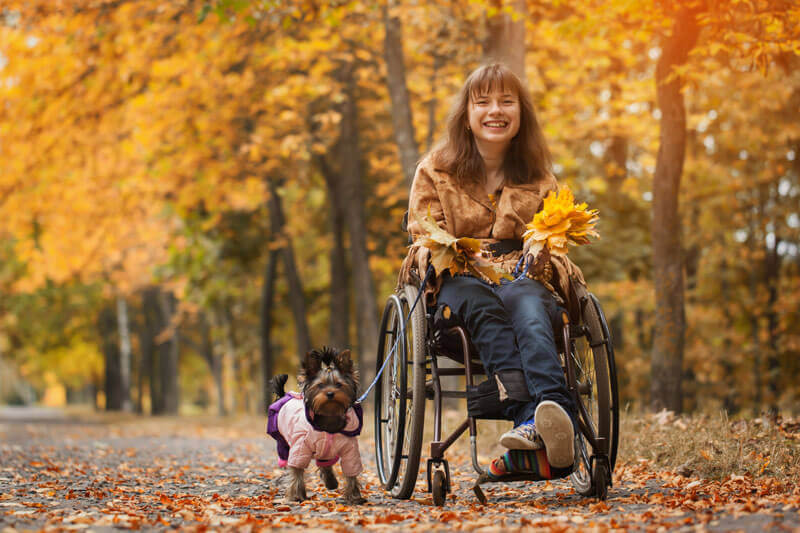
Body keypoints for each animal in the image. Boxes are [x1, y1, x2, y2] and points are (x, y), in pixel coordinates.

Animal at [268, 344, 368, 502]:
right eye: (320, 385)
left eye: (339, 384)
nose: (330, 393)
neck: (329, 416)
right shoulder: (300, 447)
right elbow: (296, 469)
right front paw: (296, 495)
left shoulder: (350, 450)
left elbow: (351, 470)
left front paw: (354, 496)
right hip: (283, 442)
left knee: (325, 463)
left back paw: (331, 482)